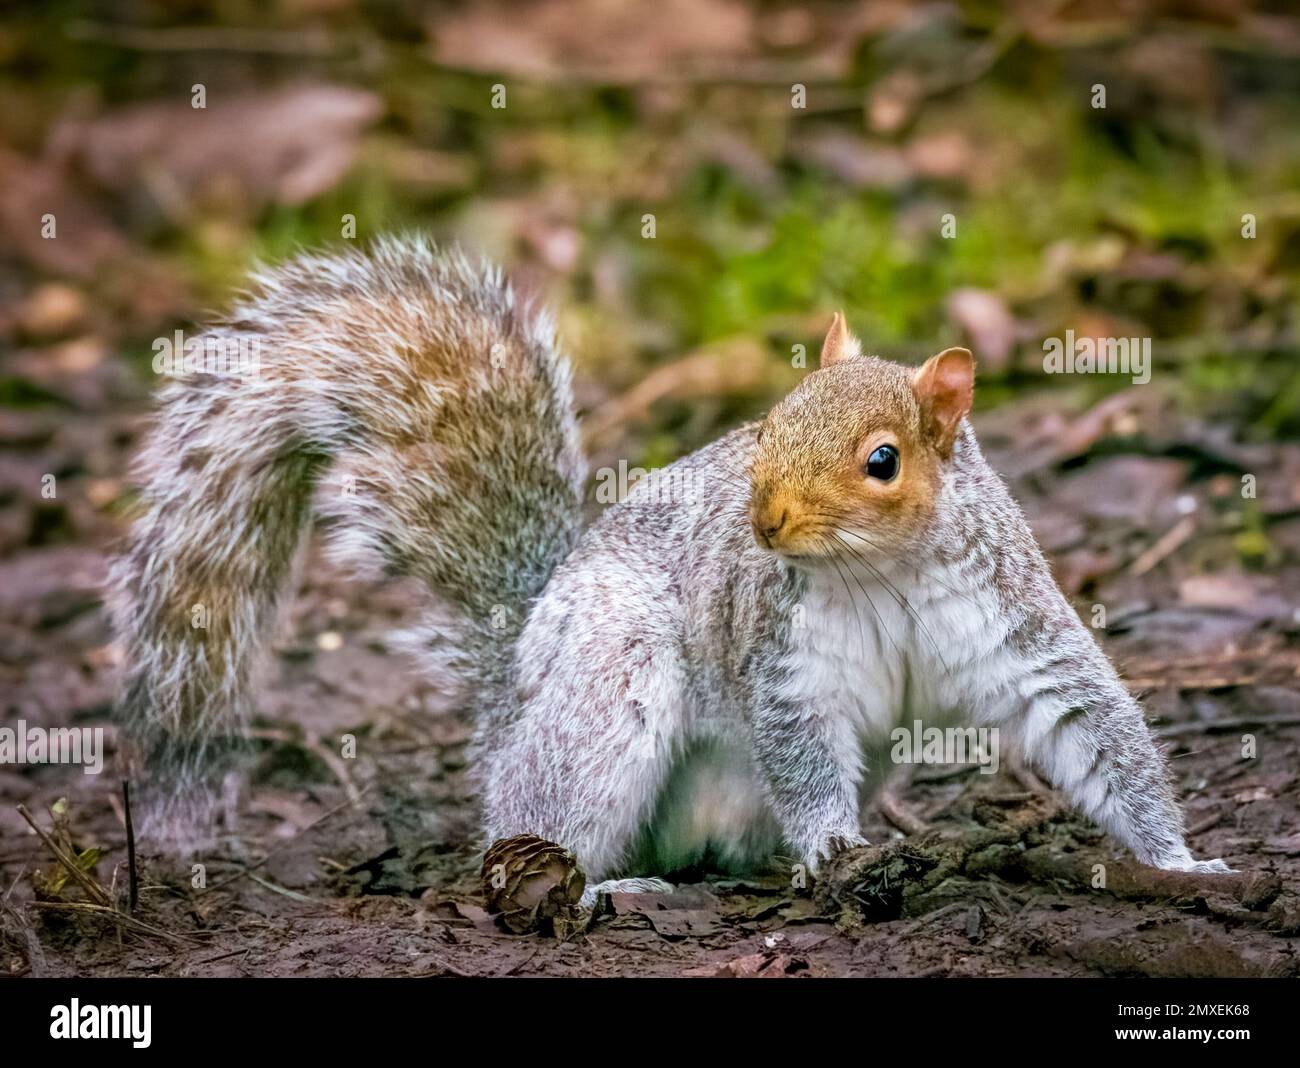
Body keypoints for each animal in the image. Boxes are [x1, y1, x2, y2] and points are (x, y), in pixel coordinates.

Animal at [109, 233, 1227, 904]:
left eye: (883, 460)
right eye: (765, 425)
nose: (763, 522)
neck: (885, 574)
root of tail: (511, 685)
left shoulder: (1011, 623)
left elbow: (1091, 727)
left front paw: (1183, 863)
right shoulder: (787, 661)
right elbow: (799, 749)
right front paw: (832, 845)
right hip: (608, 683)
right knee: (535, 821)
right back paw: (605, 886)